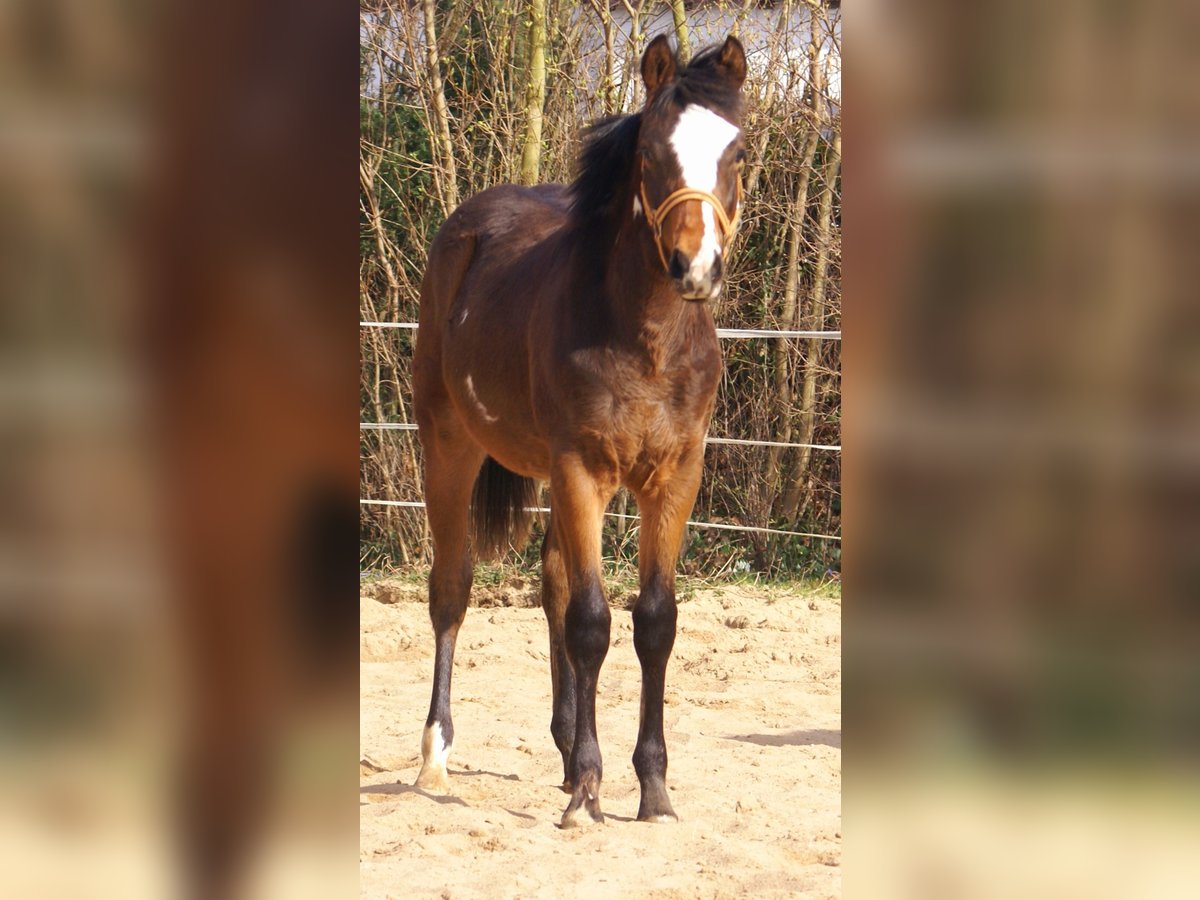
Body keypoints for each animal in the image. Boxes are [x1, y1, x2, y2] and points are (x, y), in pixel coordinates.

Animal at [412, 34, 747, 827]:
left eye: (738, 151)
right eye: (651, 152)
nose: (696, 268)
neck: (647, 339)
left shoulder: (675, 476)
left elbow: (653, 621)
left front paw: (652, 790)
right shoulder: (581, 470)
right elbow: (593, 622)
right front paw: (592, 791)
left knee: (551, 583)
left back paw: (565, 753)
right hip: (449, 444)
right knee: (452, 588)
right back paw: (436, 754)